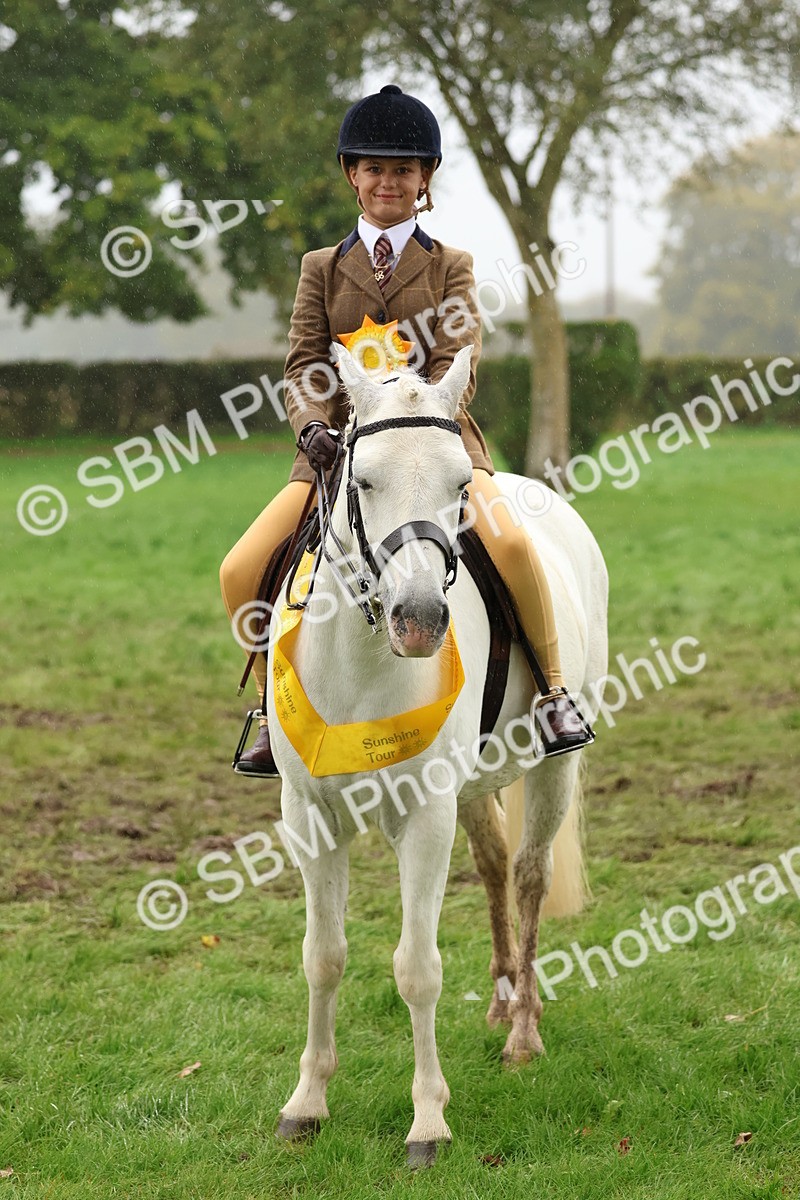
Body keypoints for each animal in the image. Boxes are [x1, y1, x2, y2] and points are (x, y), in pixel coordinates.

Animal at [266, 344, 609, 1167]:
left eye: (458, 485)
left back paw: (524, 1034)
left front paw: (427, 1122)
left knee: (528, 876)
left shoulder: (423, 817)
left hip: (553, 768)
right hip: (473, 788)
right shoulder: (309, 815)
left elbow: (417, 968)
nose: (419, 620)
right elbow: (323, 956)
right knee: (492, 866)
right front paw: (306, 1104)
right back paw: (503, 1001)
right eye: (361, 479)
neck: (362, 660)